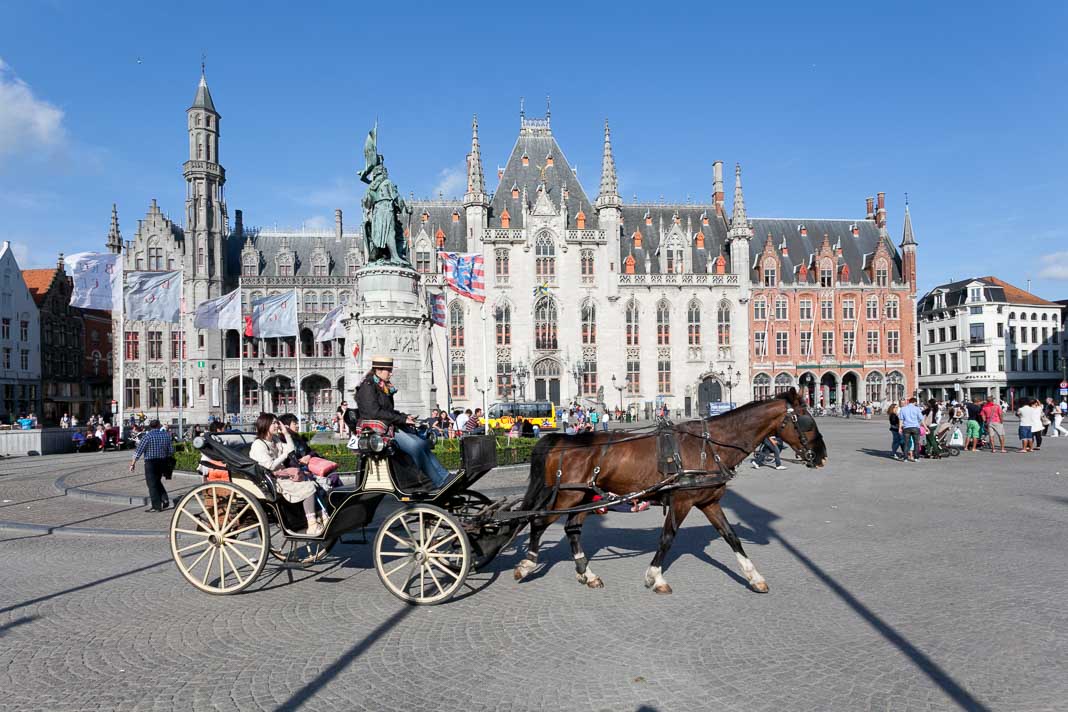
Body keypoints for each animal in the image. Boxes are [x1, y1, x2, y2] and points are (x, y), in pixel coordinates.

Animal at [512, 390, 828, 597]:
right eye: (808, 421)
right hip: (569, 496)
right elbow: (667, 538)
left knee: (572, 528)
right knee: (538, 521)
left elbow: (731, 537)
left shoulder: (709, 502)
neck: (710, 445)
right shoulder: (681, 501)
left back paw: (587, 574)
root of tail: (562, 439)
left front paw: (754, 577)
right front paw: (655, 578)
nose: (823, 457)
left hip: (585, 497)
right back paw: (527, 565)